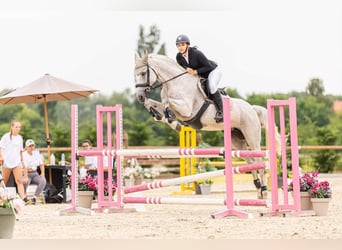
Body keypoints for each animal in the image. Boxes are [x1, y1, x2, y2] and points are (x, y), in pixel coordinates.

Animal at [135, 53, 268, 199]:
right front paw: (161, 116)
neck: (174, 84)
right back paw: (258, 189)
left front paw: (168, 118)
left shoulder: (186, 109)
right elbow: (153, 103)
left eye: (143, 73)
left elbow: (168, 103)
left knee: (259, 159)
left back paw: (264, 190)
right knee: (250, 161)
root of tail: (252, 108)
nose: (140, 96)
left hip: (252, 137)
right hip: (236, 140)